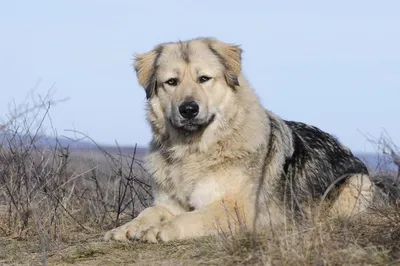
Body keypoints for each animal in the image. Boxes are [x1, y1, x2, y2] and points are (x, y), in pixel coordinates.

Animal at [104, 37, 382, 243]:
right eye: (171, 82)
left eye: (204, 79)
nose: (188, 109)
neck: (193, 152)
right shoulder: (169, 203)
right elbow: (149, 211)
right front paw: (127, 228)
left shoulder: (237, 208)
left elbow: (187, 218)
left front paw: (159, 230)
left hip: (358, 183)